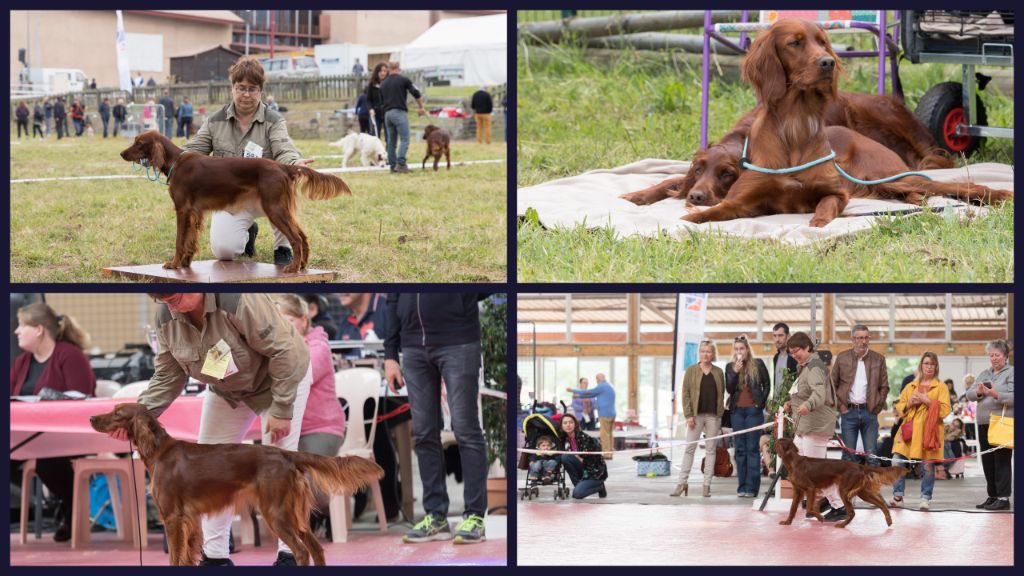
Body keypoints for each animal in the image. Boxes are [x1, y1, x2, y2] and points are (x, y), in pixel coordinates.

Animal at [88, 401, 382, 561]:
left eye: (117, 412)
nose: (91, 417)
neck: (160, 450)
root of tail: (286, 454)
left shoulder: (172, 518)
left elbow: (174, 557)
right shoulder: (189, 520)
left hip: (277, 513)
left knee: (301, 552)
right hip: (294, 514)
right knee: (317, 550)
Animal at [118, 130, 352, 272]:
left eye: (139, 142)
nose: (121, 153)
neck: (176, 161)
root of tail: (283, 166)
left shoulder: (182, 209)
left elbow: (179, 240)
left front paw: (174, 263)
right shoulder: (195, 212)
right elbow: (190, 240)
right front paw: (185, 263)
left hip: (274, 208)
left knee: (295, 237)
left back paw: (293, 267)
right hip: (281, 208)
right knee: (302, 236)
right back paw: (302, 265)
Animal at [630, 19, 1007, 224]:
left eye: (727, 174)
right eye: (794, 43)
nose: (828, 61)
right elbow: (669, 181)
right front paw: (638, 195)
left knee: (956, 183)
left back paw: (997, 195)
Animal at [774, 436, 905, 528]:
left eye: (779, 441)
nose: (774, 437)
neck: (793, 462)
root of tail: (859, 466)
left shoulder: (810, 488)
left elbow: (809, 509)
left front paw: (820, 517)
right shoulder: (798, 491)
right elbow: (792, 509)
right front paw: (787, 522)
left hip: (844, 491)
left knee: (852, 512)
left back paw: (842, 525)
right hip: (862, 493)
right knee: (881, 504)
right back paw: (889, 520)